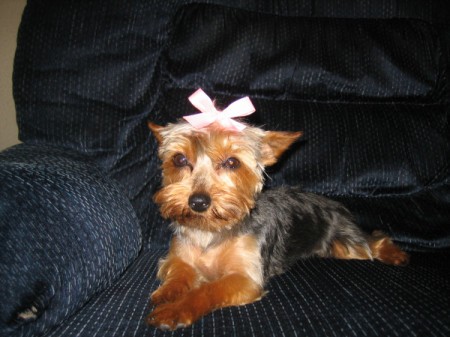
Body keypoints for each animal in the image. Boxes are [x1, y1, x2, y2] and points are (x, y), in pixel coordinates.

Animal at [145, 88, 408, 328]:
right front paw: (167, 294)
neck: (210, 231)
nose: (198, 202)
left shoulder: (244, 277)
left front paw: (176, 309)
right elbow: (178, 274)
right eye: (179, 159)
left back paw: (395, 254)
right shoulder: (178, 257)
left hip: (349, 243)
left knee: (375, 238)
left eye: (232, 162)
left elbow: (208, 290)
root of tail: (335, 204)